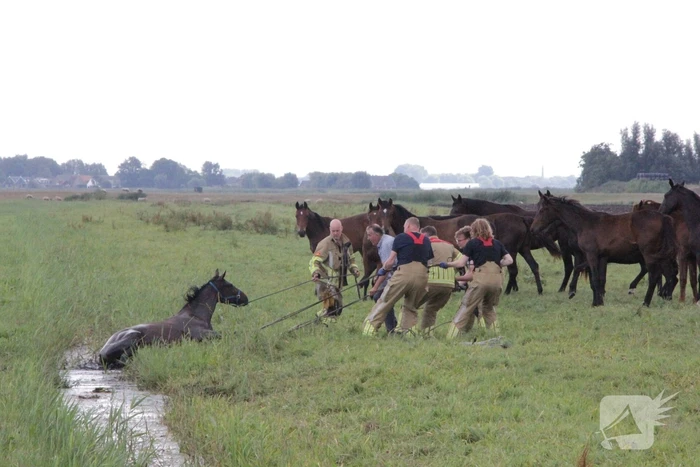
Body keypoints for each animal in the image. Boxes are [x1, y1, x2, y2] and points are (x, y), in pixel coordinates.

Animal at [98, 269, 248, 368]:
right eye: (230, 285)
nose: (246, 298)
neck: (196, 316)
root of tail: (101, 352)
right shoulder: (204, 336)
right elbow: (224, 335)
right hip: (134, 338)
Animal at [371, 198, 561, 294]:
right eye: (379, 212)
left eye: (391, 212)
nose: (384, 228)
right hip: (523, 249)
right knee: (533, 266)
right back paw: (538, 290)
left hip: (513, 251)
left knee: (513, 270)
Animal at [532, 191, 678, 307]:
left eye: (542, 210)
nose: (534, 229)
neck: (585, 223)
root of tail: (664, 217)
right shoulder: (601, 257)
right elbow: (597, 278)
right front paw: (598, 301)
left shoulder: (591, 255)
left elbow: (594, 279)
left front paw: (592, 302)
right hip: (662, 256)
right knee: (669, 276)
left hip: (649, 255)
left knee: (654, 277)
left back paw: (645, 303)